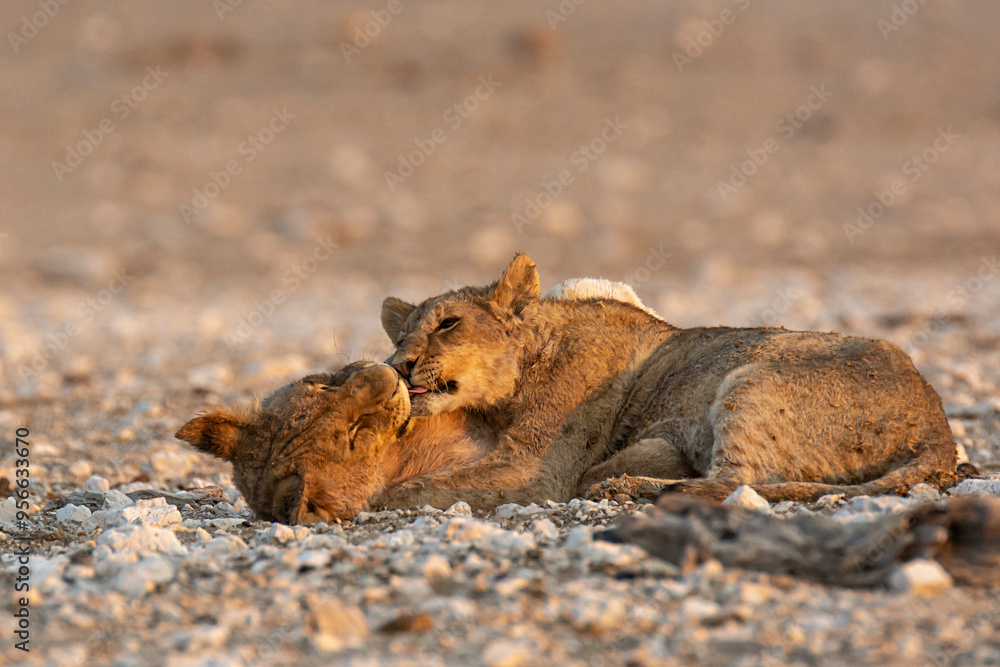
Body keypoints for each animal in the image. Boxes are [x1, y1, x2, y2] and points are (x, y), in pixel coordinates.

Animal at [375, 253, 960, 512]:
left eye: (448, 324)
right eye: (401, 334)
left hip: (751, 379)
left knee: (735, 483)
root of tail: (938, 428)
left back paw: (634, 487)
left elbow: (416, 487)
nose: (399, 364)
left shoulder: (536, 469)